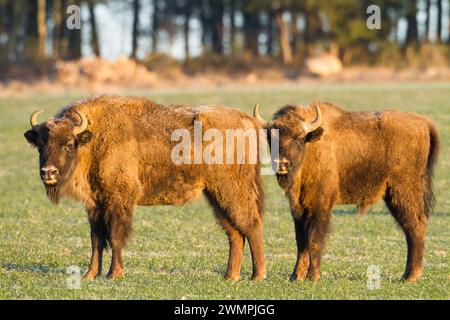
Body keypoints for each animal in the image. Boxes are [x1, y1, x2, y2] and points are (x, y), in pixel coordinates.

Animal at [24, 95, 268, 280]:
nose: (48, 172)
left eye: (68, 144)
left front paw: (114, 274)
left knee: (252, 225)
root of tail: (249, 122)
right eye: (41, 145)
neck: (94, 138)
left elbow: (115, 237)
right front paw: (90, 275)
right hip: (216, 196)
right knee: (235, 233)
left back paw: (257, 276)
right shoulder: (95, 205)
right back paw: (230, 276)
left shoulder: (119, 201)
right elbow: (96, 240)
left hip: (232, 191)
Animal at [255, 101, 442, 282]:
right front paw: (295, 276)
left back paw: (410, 277)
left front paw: (312, 276)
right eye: (271, 137)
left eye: (299, 137)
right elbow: (301, 242)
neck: (311, 147)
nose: (281, 163)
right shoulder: (298, 208)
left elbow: (314, 239)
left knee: (415, 227)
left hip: (403, 193)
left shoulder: (320, 206)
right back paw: (407, 275)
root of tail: (423, 123)